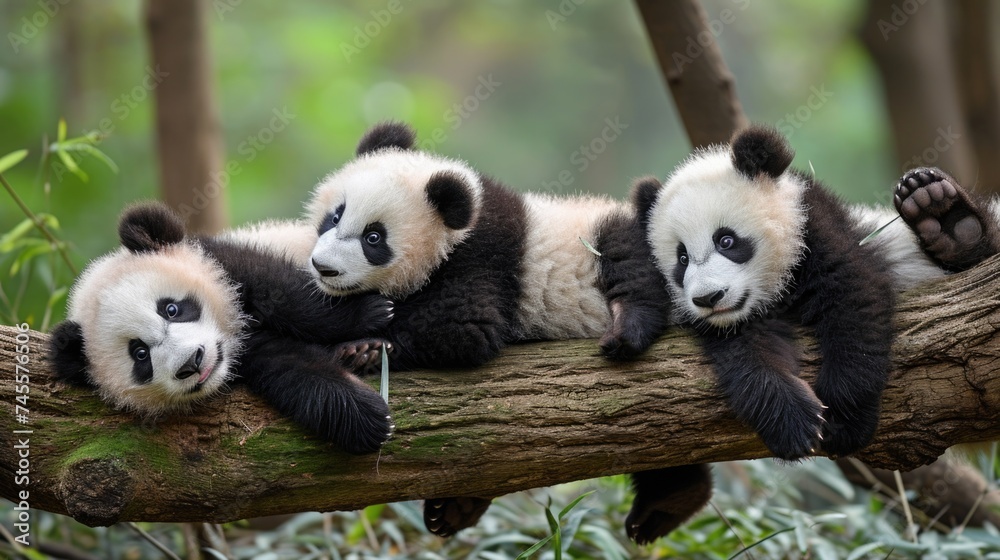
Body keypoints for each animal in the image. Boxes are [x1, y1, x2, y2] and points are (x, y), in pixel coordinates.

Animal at [48, 203, 395, 455]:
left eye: (171, 309)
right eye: (140, 354)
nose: (192, 362)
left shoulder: (230, 262)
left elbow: (295, 297)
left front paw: (373, 312)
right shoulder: (254, 355)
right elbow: (296, 368)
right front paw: (368, 419)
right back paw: (360, 353)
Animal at [598, 126, 1000, 544]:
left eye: (726, 240)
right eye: (681, 258)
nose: (709, 298)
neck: (772, 294)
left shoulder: (817, 233)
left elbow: (854, 308)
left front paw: (843, 422)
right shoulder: (728, 322)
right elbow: (748, 359)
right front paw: (793, 424)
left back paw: (945, 216)